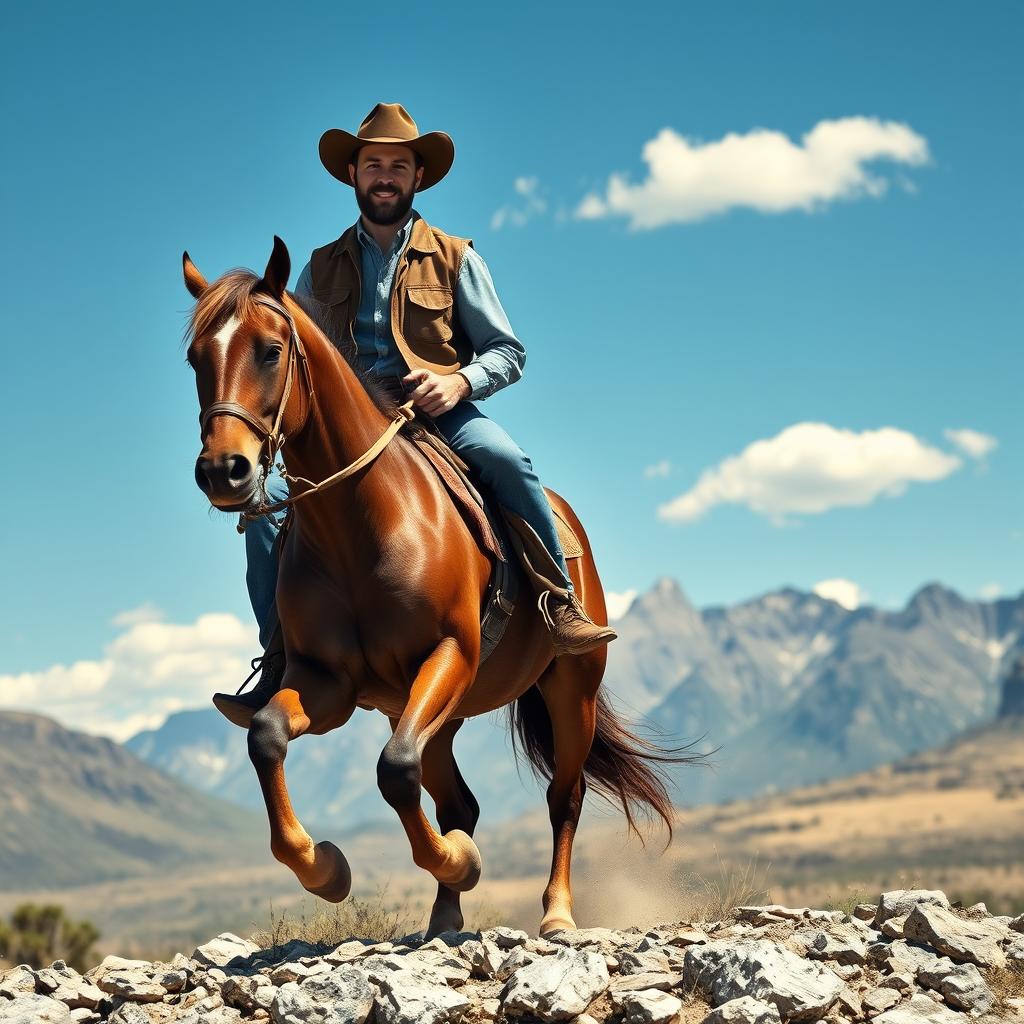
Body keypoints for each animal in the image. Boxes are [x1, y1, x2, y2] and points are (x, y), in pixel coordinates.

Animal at [182, 237, 694, 937]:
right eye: (195, 358)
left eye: (270, 349)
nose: (223, 470)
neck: (359, 524)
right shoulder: (328, 682)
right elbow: (266, 737)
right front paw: (327, 869)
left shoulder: (450, 652)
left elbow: (394, 770)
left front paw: (460, 862)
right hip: (435, 715)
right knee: (459, 801)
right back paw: (445, 916)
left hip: (571, 689)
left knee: (563, 796)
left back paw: (557, 913)